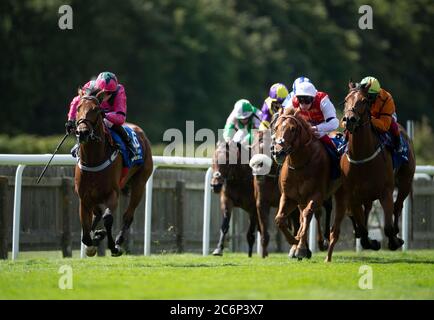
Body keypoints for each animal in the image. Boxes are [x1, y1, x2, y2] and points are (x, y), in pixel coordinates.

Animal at [72, 90, 152, 258]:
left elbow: (108, 218)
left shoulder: (112, 193)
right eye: (78, 108)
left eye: (96, 109)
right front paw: (94, 239)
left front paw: (112, 246)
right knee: (97, 214)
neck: (93, 160)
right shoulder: (84, 197)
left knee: (128, 215)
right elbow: (85, 231)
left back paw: (118, 240)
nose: (82, 132)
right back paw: (98, 234)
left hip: (140, 184)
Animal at [272, 107, 344, 260]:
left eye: (292, 129)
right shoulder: (289, 197)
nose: (278, 152)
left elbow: (307, 215)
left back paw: (322, 242)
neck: (299, 164)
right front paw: (295, 241)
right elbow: (280, 219)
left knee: (320, 211)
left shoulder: (316, 195)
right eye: (275, 127)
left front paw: (300, 247)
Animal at [326, 82, 418, 262]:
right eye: (346, 100)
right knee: (367, 211)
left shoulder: (386, 192)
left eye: (363, 100)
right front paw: (371, 242)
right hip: (367, 195)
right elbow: (362, 228)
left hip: (405, 182)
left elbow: (387, 227)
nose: (349, 120)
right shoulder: (353, 196)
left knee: (398, 207)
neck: (362, 156)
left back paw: (397, 234)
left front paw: (394, 241)